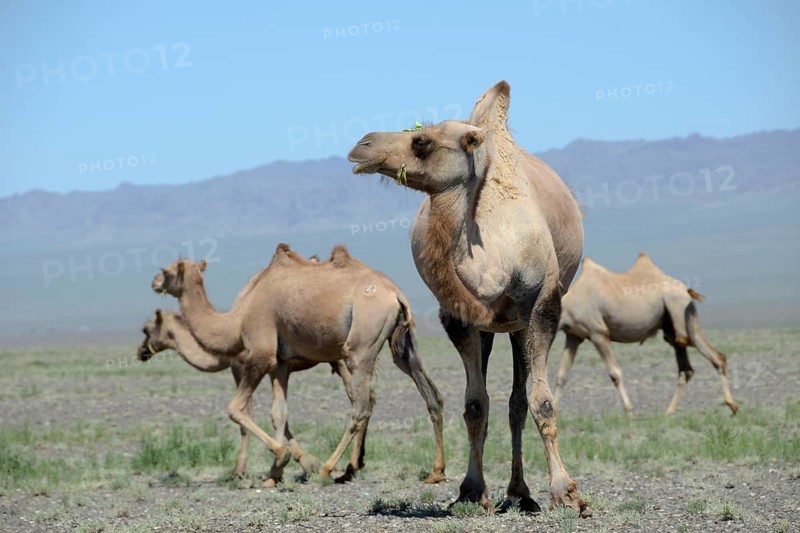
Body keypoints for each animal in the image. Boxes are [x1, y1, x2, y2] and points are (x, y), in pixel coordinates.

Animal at [136, 308, 363, 482]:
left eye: (146, 329)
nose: (140, 352)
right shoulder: (273, 369)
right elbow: (279, 414)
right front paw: (301, 461)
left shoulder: (241, 367)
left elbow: (247, 418)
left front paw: (239, 471)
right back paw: (354, 464)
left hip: (341, 360)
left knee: (359, 401)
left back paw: (349, 467)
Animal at [348, 81, 589, 516]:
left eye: (421, 140)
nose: (363, 144)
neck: (494, 258)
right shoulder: (459, 318)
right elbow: (475, 404)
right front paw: (472, 490)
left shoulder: (543, 308)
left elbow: (542, 400)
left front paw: (567, 492)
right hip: (496, 326)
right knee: (505, 402)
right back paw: (516, 491)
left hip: (519, 323)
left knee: (518, 402)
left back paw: (523, 493)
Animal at [554, 253, 739, 416]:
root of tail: (686, 290)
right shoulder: (574, 336)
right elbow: (561, 375)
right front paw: (552, 412)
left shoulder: (597, 333)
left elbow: (614, 373)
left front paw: (629, 411)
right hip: (672, 327)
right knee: (688, 368)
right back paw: (669, 411)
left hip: (679, 312)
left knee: (710, 355)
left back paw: (732, 405)